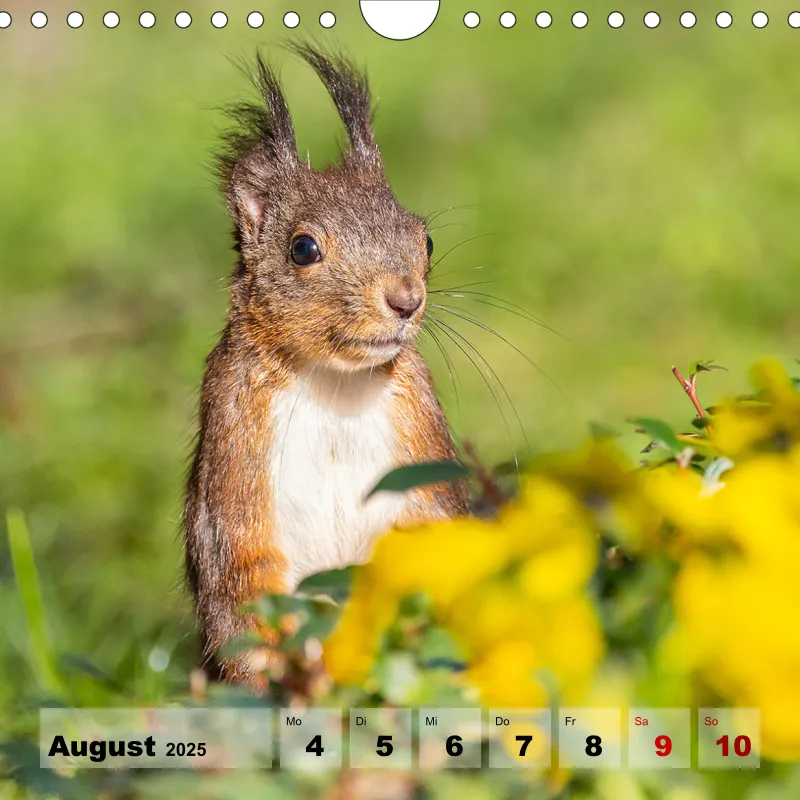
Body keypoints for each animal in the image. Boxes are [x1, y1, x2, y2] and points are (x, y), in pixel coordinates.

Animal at [183, 44, 469, 690]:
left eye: (426, 240)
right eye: (303, 249)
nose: (406, 300)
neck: (335, 380)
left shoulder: (418, 436)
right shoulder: (235, 452)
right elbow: (246, 578)